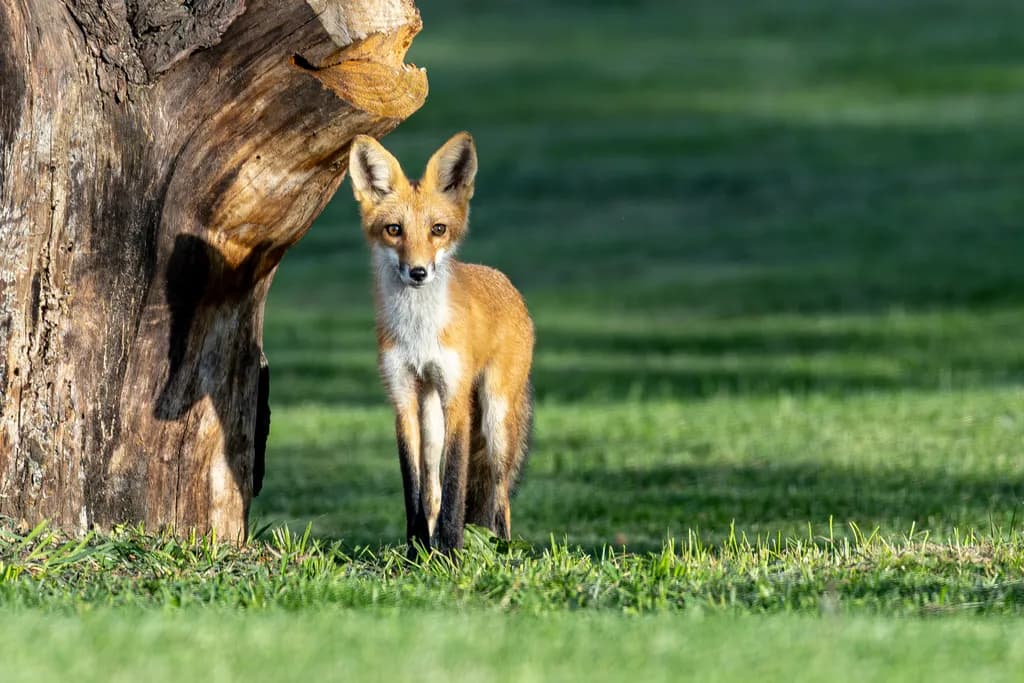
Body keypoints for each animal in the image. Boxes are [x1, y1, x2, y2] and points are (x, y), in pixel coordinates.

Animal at [348, 132, 535, 557]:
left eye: (438, 229)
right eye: (394, 229)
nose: (418, 272)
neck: (419, 333)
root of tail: (505, 281)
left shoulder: (456, 397)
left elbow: (455, 487)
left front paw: (451, 552)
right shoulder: (402, 397)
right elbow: (414, 486)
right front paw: (417, 550)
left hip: (495, 419)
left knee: (499, 494)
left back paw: (500, 547)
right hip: (430, 415)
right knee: (431, 489)